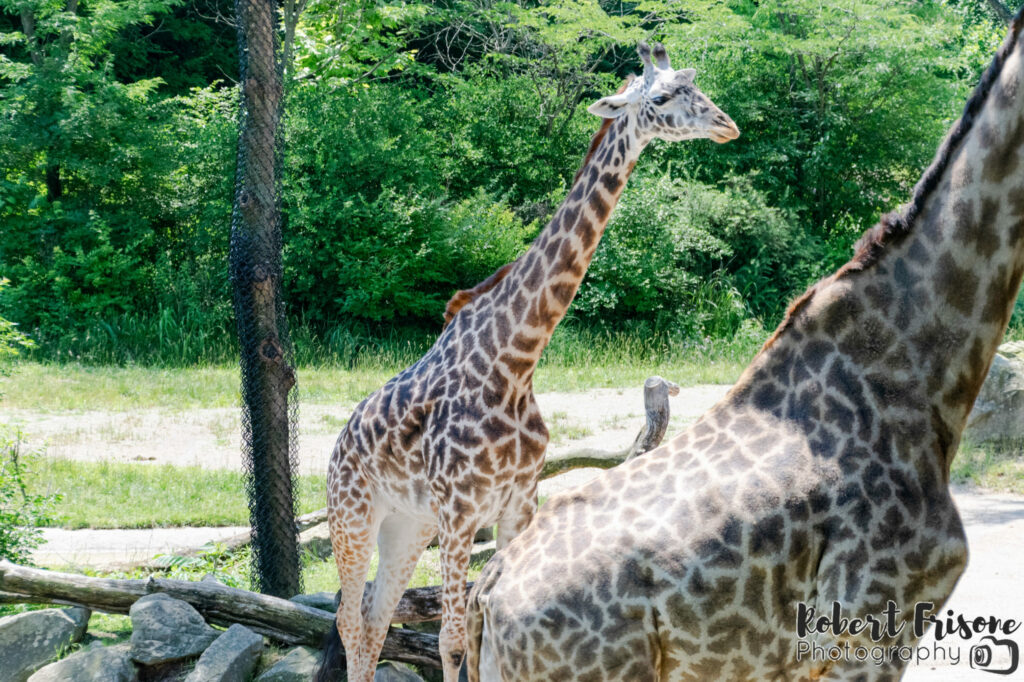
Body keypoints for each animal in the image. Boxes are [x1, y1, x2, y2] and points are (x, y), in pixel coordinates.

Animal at [315, 43, 741, 679]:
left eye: (697, 85)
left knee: (374, 619)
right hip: (354, 516)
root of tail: (340, 441)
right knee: (348, 620)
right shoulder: (461, 510)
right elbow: (453, 640)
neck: (515, 361)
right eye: (663, 96)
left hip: (407, 524)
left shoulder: (518, 501)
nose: (725, 124)